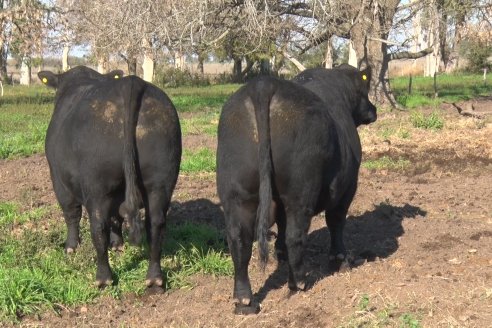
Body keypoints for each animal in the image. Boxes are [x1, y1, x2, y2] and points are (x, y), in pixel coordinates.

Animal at [38, 66, 181, 288]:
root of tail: (130, 82)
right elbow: (116, 218)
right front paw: (118, 244)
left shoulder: (58, 179)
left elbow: (71, 214)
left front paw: (71, 246)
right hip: (161, 181)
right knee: (156, 223)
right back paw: (154, 278)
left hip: (97, 186)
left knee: (98, 227)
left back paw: (103, 278)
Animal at [216, 65, 376, 314]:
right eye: (364, 90)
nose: (373, 110)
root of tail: (264, 84)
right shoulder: (347, 187)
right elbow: (336, 222)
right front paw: (340, 260)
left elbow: (281, 227)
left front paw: (280, 254)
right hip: (300, 192)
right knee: (295, 234)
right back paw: (298, 282)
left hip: (236, 194)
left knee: (239, 240)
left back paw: (244, 301)